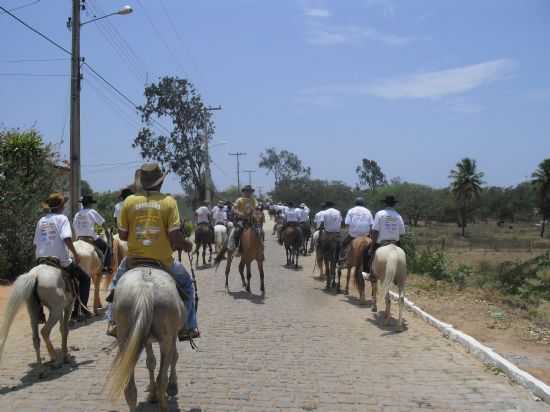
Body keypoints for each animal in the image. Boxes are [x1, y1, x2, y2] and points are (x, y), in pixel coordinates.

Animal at [106, 268, 187, 412]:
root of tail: (145, 289)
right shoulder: (172, 337)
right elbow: (174, 357)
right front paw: (172, 386)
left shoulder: (146, 340)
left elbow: (150, 362)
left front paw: (152, 393)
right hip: (166, 339)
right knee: (162, 379)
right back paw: (163, 404)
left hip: (125, 338)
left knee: (130, 387)